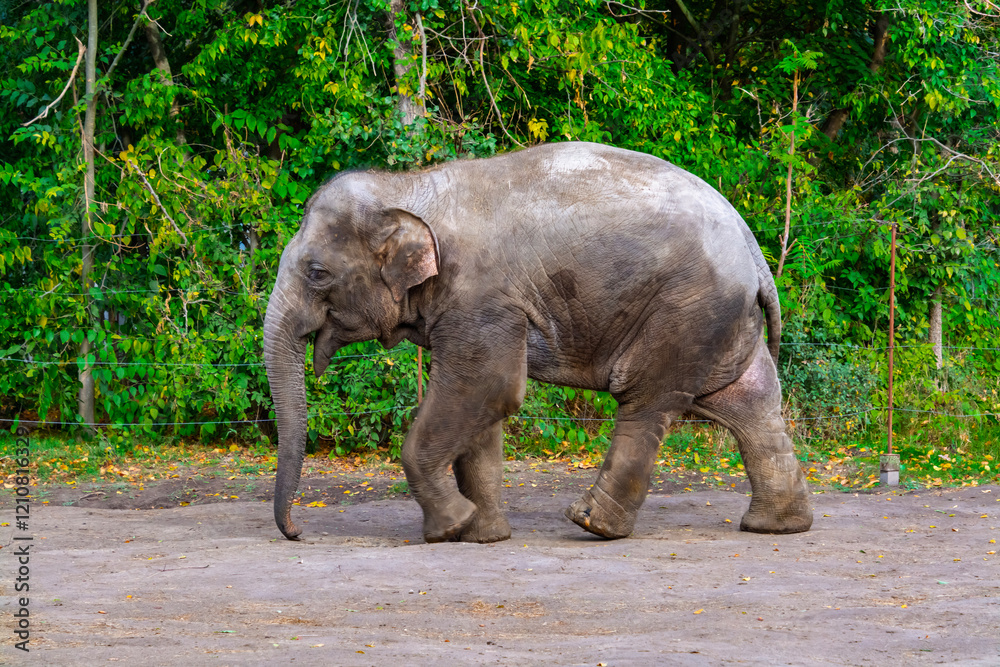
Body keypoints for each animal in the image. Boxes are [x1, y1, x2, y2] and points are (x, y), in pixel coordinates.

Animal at [263, 141, 813, 544]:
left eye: (316, 273)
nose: (298, 534)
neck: (409, 185)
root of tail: (752, 247)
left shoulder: (483, 297)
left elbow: (488, 388)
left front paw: (449, 528)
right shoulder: (473, 311)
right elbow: (481, 411)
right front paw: (481, 536)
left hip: (683, 313)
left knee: (645, 401)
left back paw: (592, 523)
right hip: (718, 321)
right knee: (751, 404)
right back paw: (775, 527)